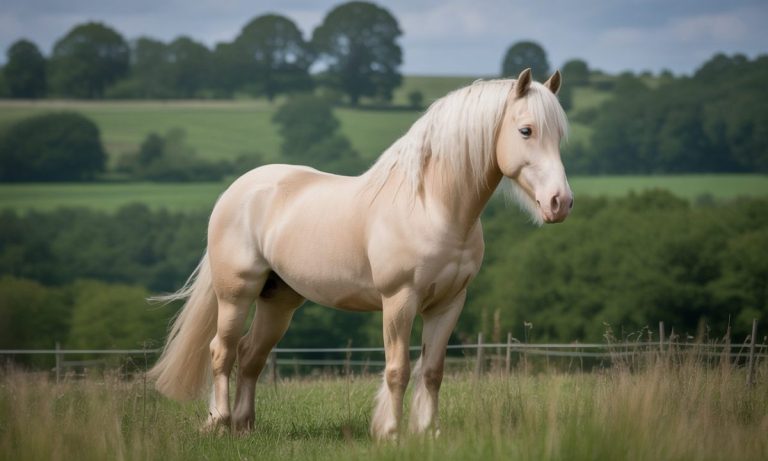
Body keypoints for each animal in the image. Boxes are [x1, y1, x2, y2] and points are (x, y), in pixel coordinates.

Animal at [148, 68, 572, 439]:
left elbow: (433, 371)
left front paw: (428, 432)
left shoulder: (449, 303)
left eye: (559, 136)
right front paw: (391, 432)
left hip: (279, 300)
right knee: (222, 351)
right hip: (235, 294)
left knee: (251, 355)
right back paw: (218, 422)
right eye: (526, 130)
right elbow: (398, 369)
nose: (560, 203)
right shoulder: (399, 300)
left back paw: (244, 426)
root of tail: (237, 190)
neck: (433, 206)